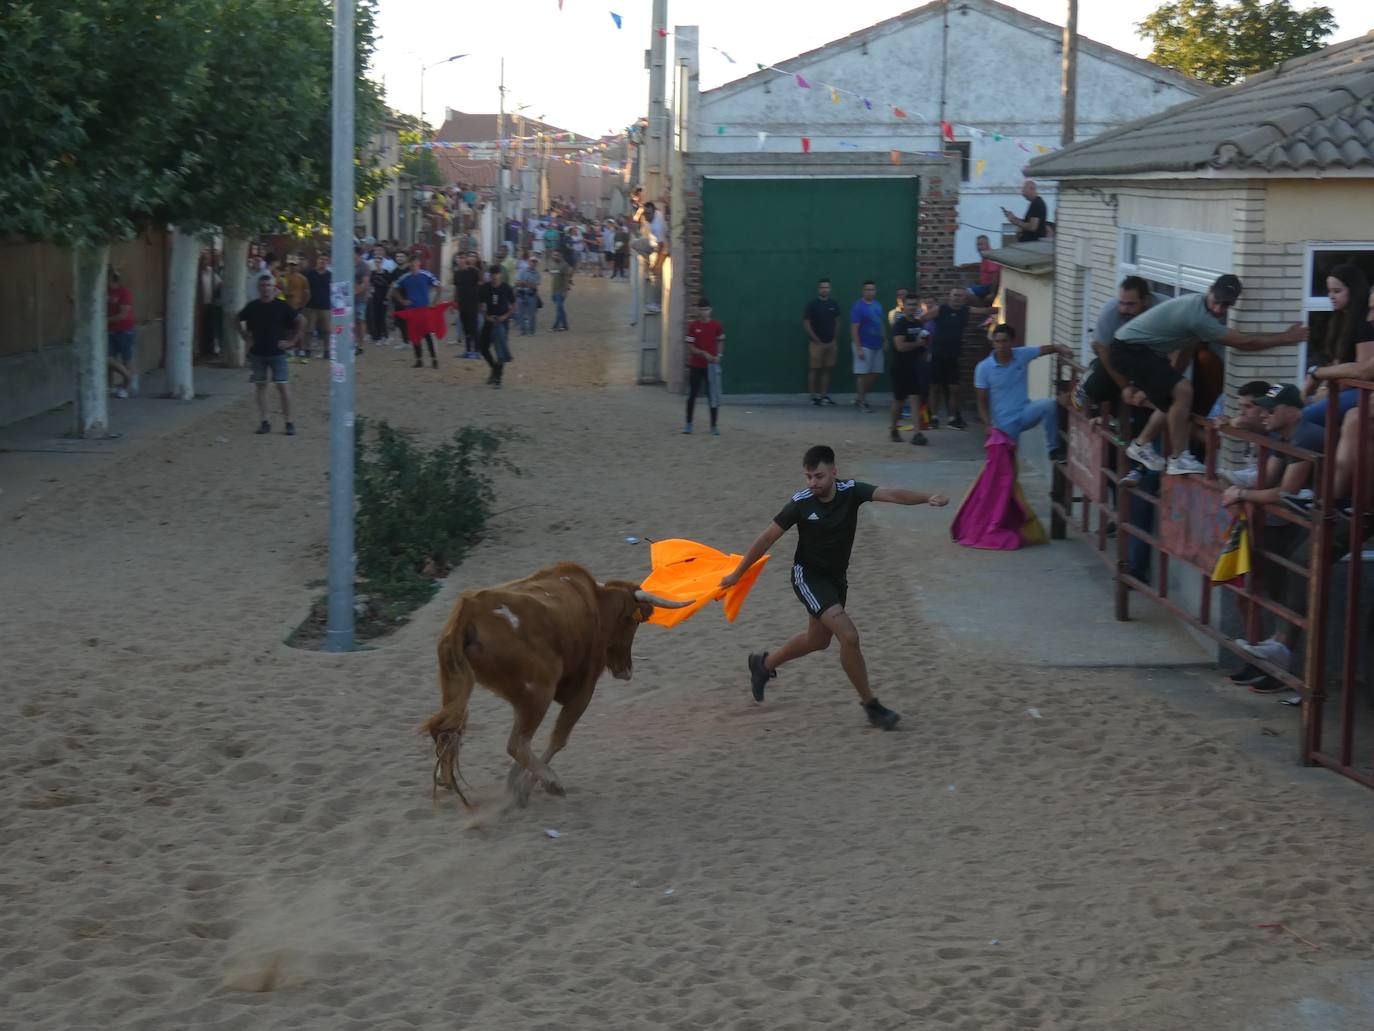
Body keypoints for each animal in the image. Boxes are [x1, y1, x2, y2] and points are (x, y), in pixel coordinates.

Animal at [423, 560, 687, 813]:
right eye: (634, 623)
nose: (626, 671)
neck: (595, 602)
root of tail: (468, 613)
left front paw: (515, 783)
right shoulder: (583, 690)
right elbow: (559, 738)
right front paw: (527, 787)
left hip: (457, 687)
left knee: (449, 732)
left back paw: (447, 776)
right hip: (538, 693)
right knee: (517, 743)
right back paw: (551, 782)